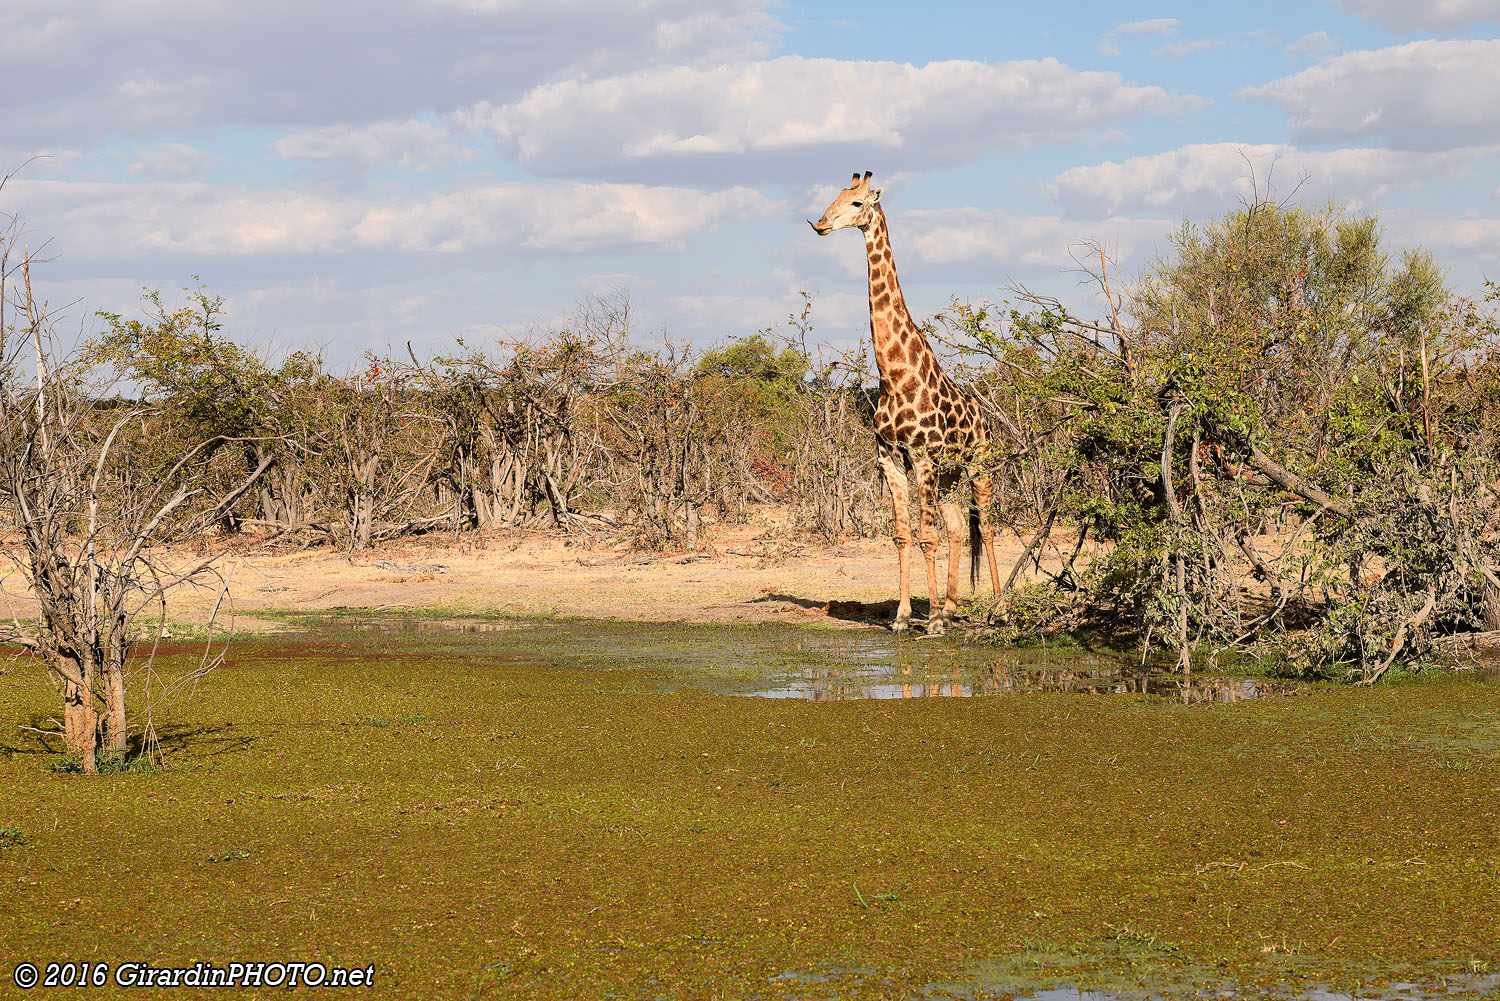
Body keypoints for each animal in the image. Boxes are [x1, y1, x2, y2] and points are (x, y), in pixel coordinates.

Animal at [810, 170, 1001, 634]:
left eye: (858, 202)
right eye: (836, 196)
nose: (820, 224)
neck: (893, 374)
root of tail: (985, 419)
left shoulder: (923, 457)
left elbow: (926, 536)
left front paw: (927, 622)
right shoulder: (890, 458)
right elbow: (902, 535)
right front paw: (902, 617)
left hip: (978, 465)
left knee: (986, 527)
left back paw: (999, 608)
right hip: (950, 476)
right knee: (957, 527)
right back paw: (950, 608)